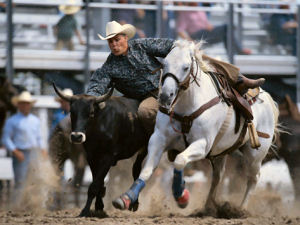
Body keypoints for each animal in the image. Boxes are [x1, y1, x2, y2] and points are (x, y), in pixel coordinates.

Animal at [112, 40, 278, 214]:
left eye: (186, 67)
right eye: (164, 64)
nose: (165, 96)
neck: (187, 106)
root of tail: (266, 98)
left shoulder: (202, 144)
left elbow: (180, 160)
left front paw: (181, 196)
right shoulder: (158, 139)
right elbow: (146, 170)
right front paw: (126, 198)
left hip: (255, 153)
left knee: (253, 178)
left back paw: (240, 209)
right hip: (220, 151)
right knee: (218, 176)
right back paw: (208, 207)